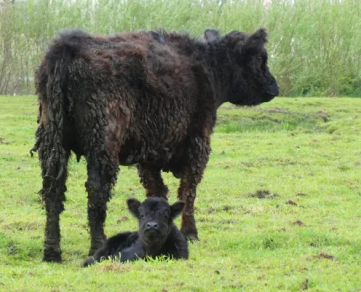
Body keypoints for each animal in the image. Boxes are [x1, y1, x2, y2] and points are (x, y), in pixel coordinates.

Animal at [31, 27, 278, 262]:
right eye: (260, 58)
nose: (274, 87)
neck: (207, 67)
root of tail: (68, 46)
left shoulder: (149, 154)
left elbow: (157, 191)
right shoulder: (198, 143)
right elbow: (188, 191)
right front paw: (190, 233)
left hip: (52, 142)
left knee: (53, 190)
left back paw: (51, 251)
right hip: (102, 143)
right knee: (96, 189)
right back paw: (97, 245)